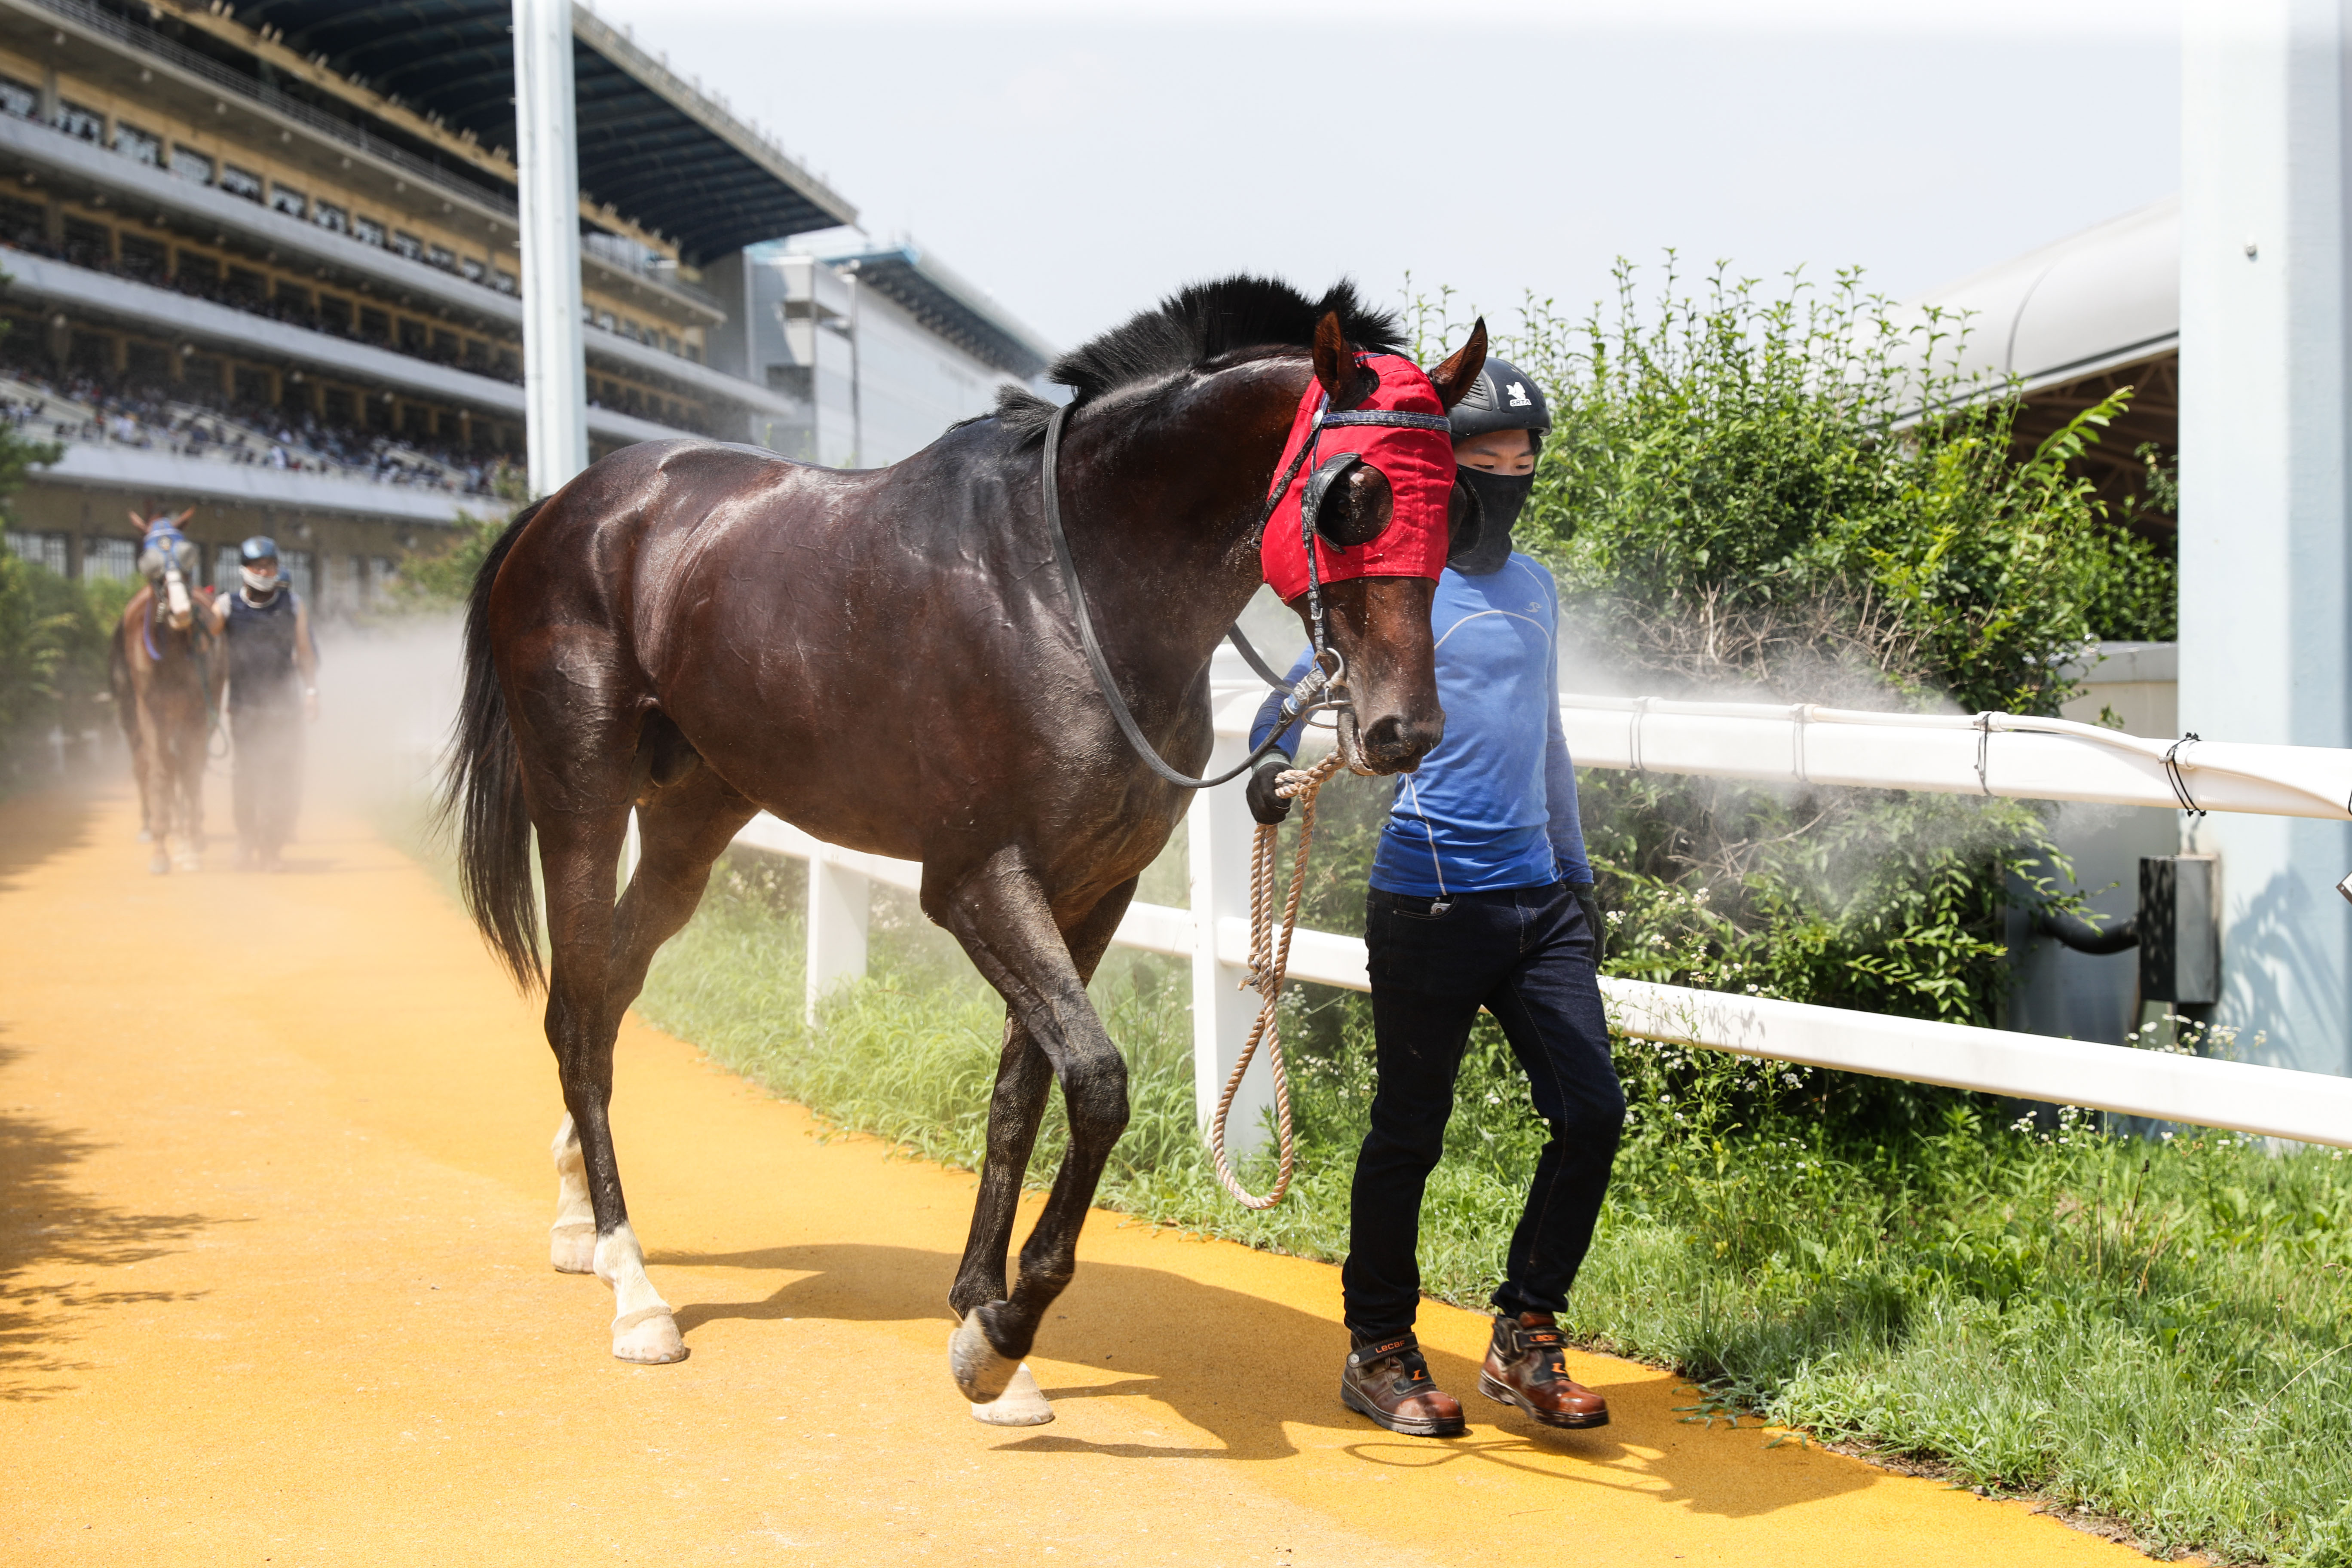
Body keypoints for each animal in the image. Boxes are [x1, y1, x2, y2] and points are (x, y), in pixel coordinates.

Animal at [108, 514, 218, 884]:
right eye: (148, 561)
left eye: (189, 556)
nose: (182, 610)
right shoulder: (149, 710)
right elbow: (158, 770)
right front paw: (160, 851)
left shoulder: (198, 708)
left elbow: (191, 768)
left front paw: (191, 845)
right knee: (148, 764)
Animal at [447, 276, 1477, 1420]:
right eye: (1353, 495)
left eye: (1456, 503)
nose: (1403, 729)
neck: (1073, 592)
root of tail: (562, 509)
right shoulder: (977, 882)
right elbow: (1096, 1083)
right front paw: (1005, 1328)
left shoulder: (1093, 890)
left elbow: (1021, 1093)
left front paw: (980, 1313)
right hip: (580, 804)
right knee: (580, 1015)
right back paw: (633, 1287)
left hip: (691, 824)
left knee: (610, 993)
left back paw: (577, 1216)